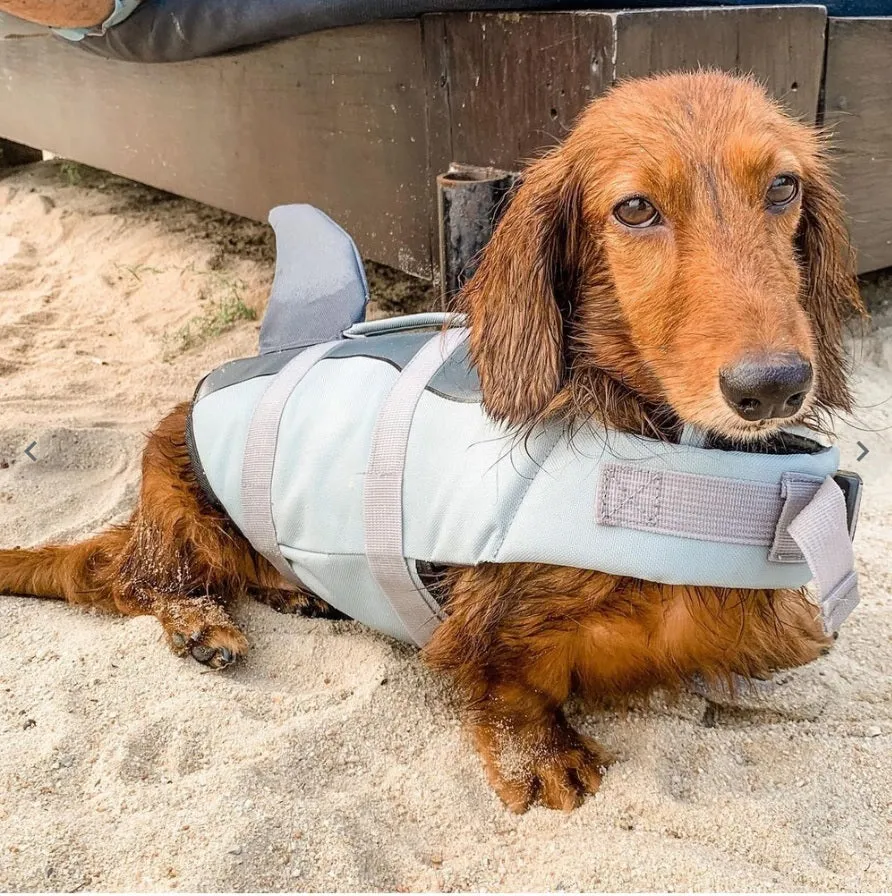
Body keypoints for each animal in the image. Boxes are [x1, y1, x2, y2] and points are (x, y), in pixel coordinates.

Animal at [0, 72, 864, 812]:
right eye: (635, 209)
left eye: (783, 187)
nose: (773, 385)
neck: (669, 447)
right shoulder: (486, 624)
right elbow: (511, 679)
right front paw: (541, 757)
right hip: (186, 519)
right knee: (131, 581)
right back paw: (200, 623)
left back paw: (293, 588)